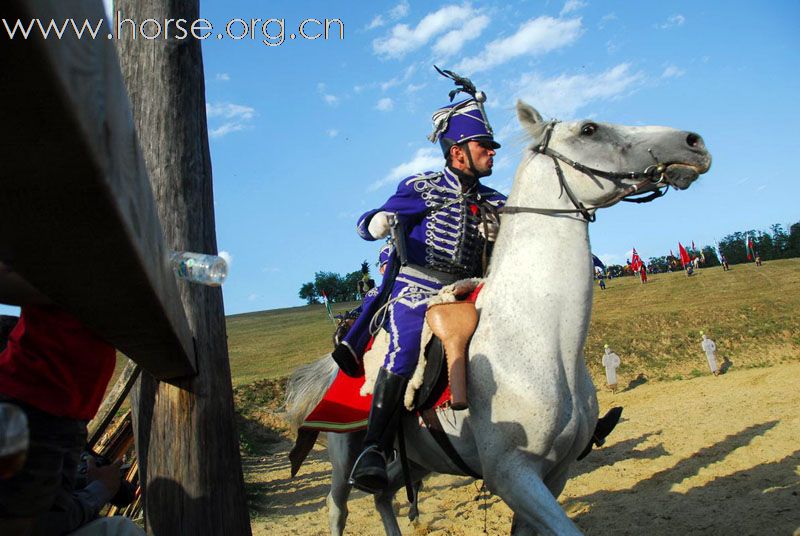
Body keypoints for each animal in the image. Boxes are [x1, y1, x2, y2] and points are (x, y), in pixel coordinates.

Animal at [288, 101, 712, 536]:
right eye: (589, 129)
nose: (693, 143)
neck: (541, 338)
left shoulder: (553, 475)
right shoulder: (512, 474)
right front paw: (382, 221)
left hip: (419, 461)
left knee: (383, 495)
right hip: (344, 455)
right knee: (338, 504)